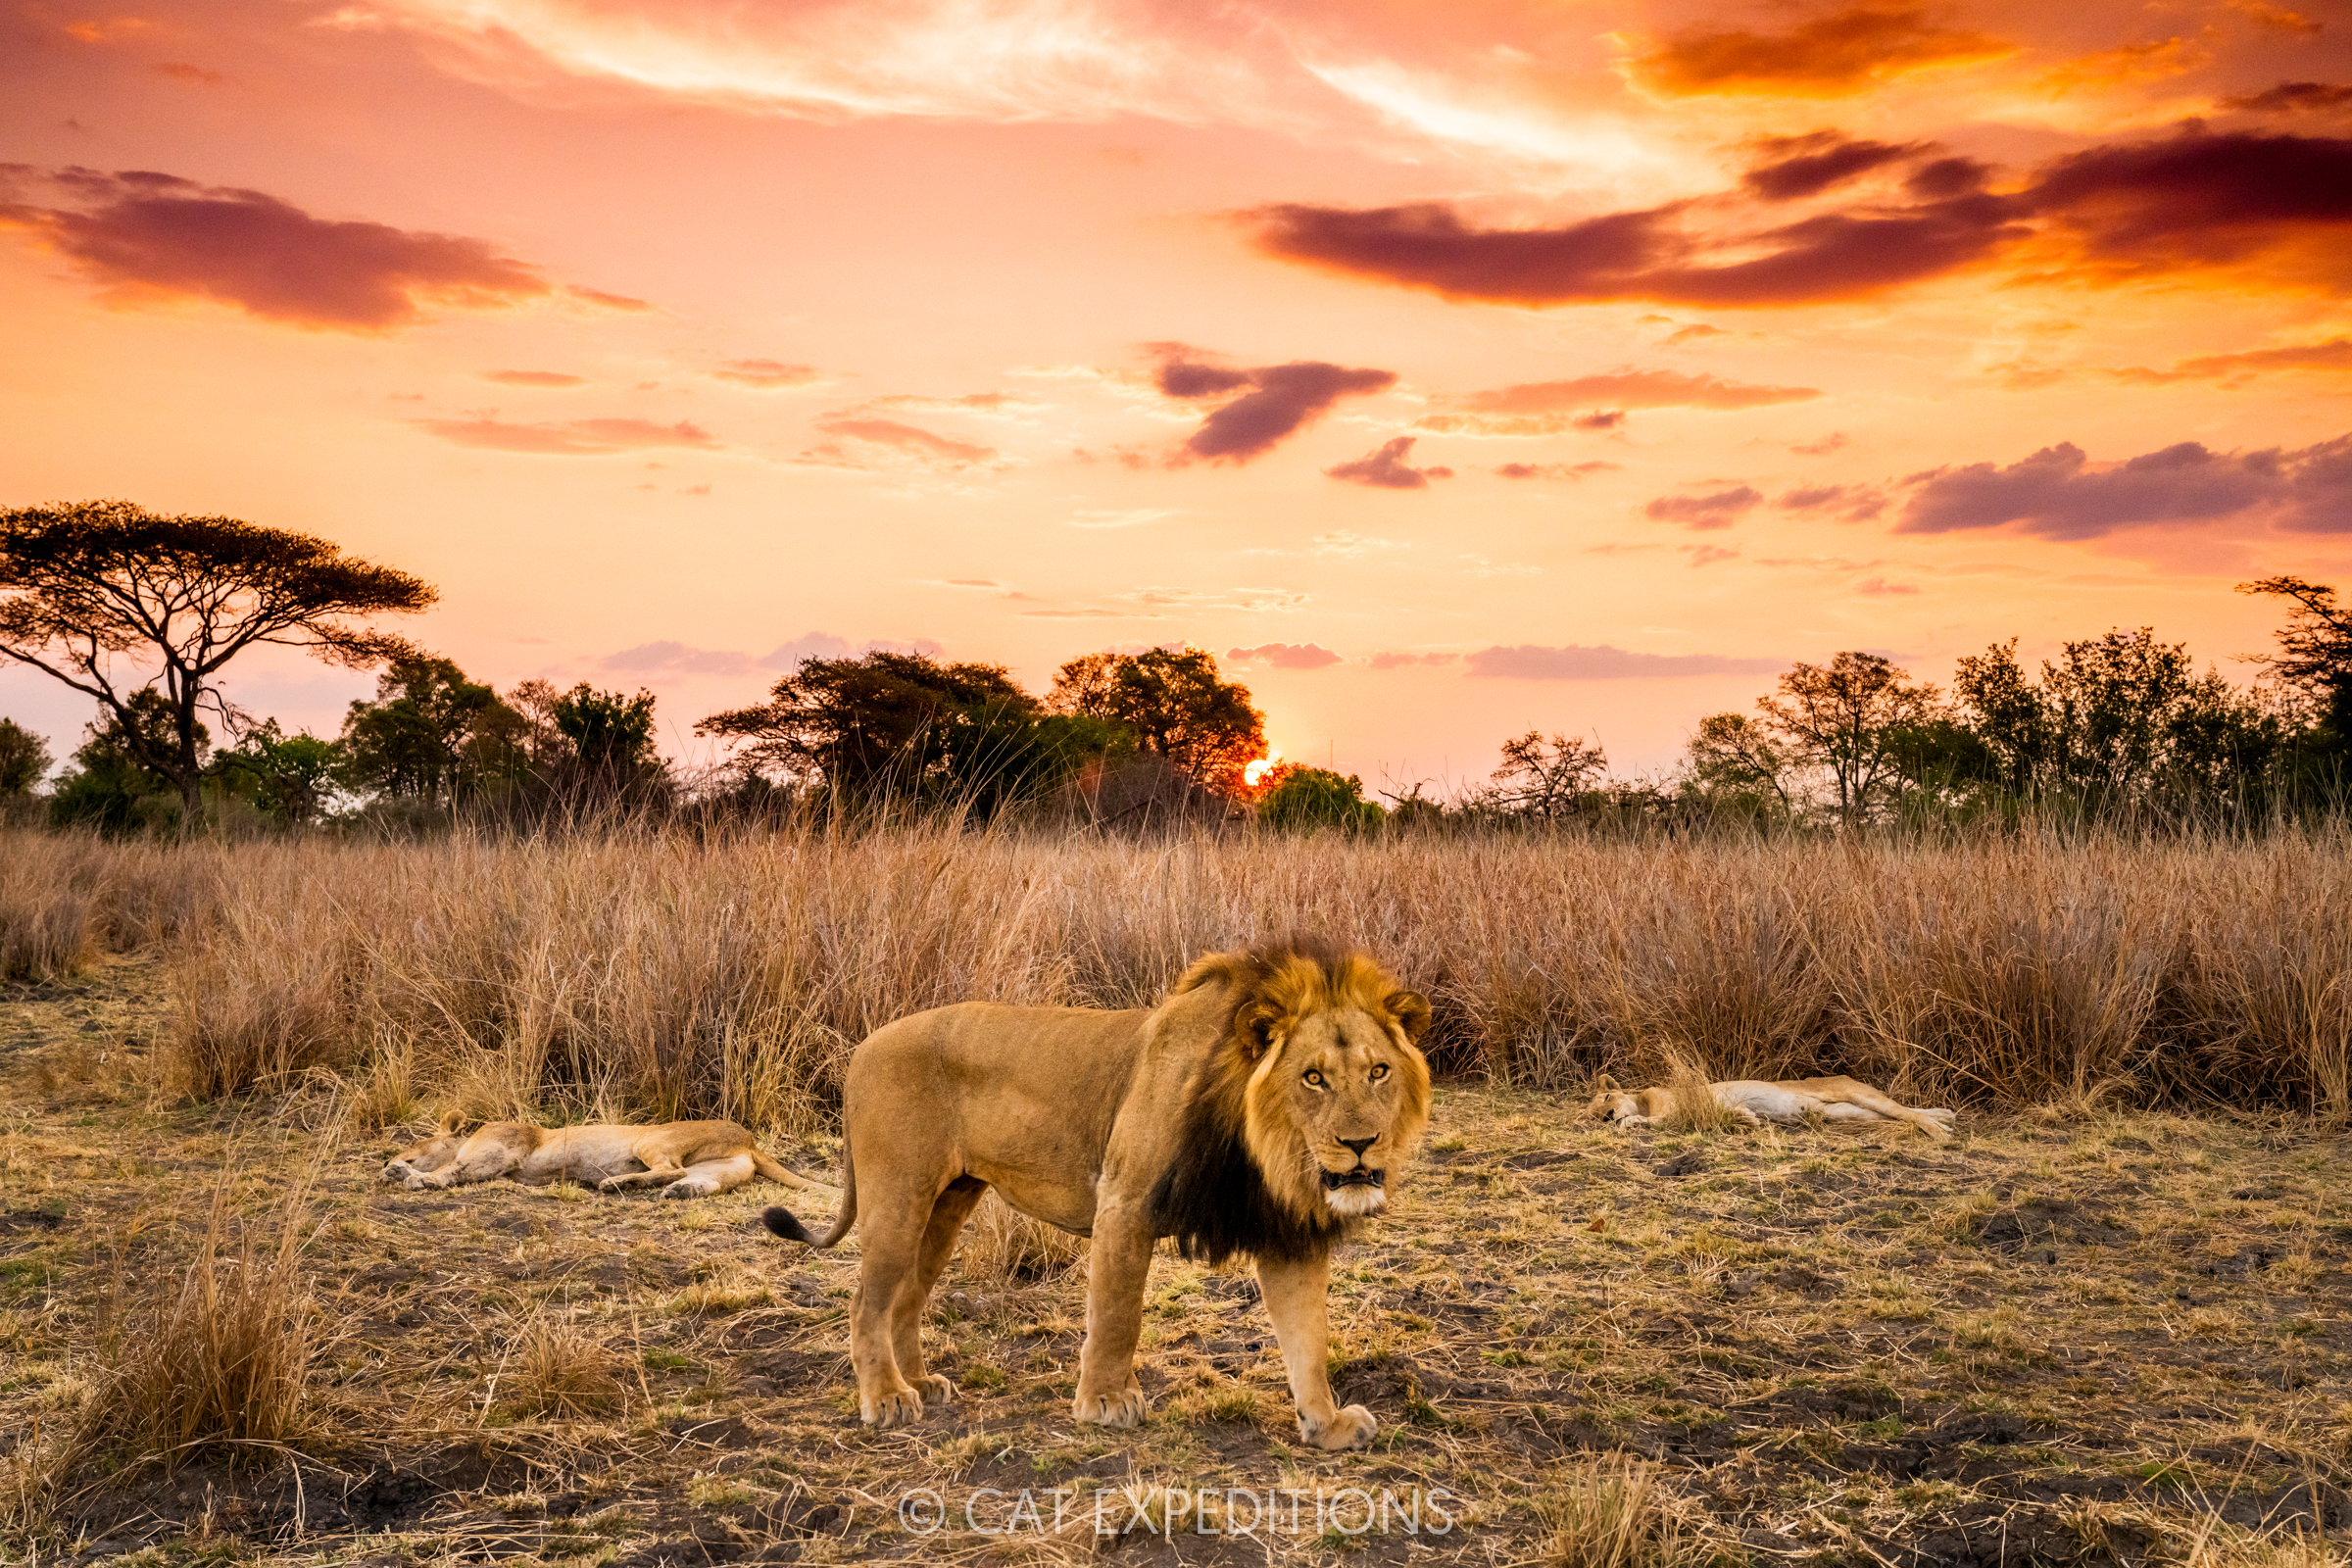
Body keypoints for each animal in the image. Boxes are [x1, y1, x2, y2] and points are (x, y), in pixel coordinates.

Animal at [759, 939, 1432, 1451]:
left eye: (1378, 1072)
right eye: (1312, 1077)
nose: (1361, 1144)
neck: (1260, 1149)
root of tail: (861, 1049)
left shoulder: (1286, 1231)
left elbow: (1309, 1338)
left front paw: (1327, 1424)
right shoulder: (1125, 1203)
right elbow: (1117, 1314)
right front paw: (1106, 1403)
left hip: (946, 1204)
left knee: (905, 1299)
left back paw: (922, 1385)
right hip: (898, 1200)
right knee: (865, 1305)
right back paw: (888, 1399)